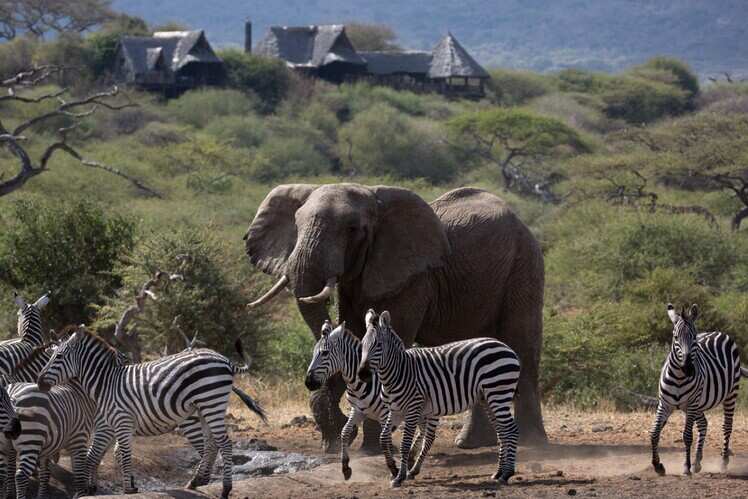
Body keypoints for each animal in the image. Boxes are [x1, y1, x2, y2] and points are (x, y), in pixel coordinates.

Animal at [243, 183, 546, 452]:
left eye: (352, 229)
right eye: (296, 225)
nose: (336, 432)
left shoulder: (411, 279)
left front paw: (371, 449)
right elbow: (355, 337)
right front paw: (337, 441)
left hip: (524, 263)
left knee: (522, 344)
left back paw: (531, 442)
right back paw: (470, 444)